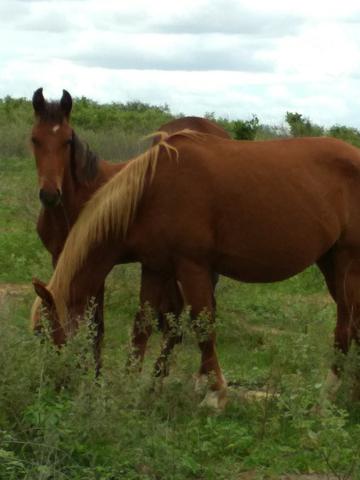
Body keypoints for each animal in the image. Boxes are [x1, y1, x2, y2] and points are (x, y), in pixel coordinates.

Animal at [30, 89, 228, 376]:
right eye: (34, 139)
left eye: (67, 140)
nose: (49, 194)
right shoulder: (61, 259)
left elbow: (96, 325)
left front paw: (94, 374)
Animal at [31, 132, 360, 408]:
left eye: (44, 334)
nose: (51, 386)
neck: (151, 191)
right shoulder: (155, 267)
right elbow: (143, 325)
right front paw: (130, 384)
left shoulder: (192, 266)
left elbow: (202, 325)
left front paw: (215, 395)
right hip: (329, 262)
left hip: (346, 263)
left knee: (345, 324)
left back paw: (328, 394)